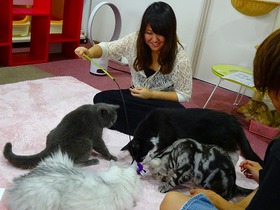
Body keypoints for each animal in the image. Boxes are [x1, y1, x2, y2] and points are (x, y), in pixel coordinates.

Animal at [121, 108, 264, 166]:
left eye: (139, 154)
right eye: (133, 157)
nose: (138, 162)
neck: (151, 126)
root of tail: (235, 121)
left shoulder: (169, 138)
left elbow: (161, 150)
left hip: (220, 139)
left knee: (235, 155)